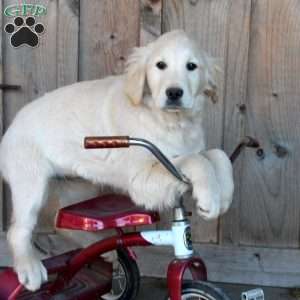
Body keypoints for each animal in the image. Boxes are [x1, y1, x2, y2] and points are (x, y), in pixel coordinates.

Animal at [0, 30, 234, 290]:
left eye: (191, 66)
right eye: (160, 65)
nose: (174, 93)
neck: (169, 120)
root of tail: (12, 126)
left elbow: (217, 155)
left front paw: (223, 195)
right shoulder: (142, 179)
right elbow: (196, 160)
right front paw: (209, 199)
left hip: (79, 185)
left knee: (60, 222)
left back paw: (105, 250)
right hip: (30, 182)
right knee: (18, 229)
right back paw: (29, 269)